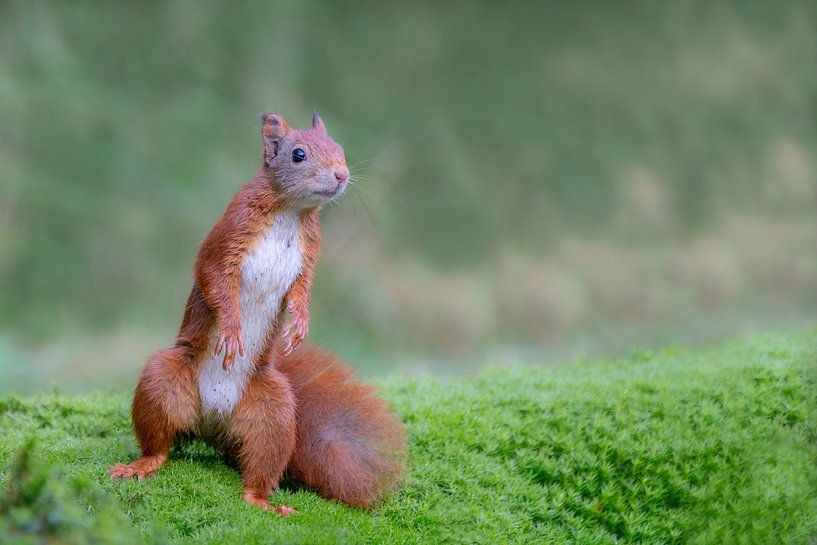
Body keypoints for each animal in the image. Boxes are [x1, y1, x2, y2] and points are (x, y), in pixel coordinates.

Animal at [108, 112, 406, 515]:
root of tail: (212, 422)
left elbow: (302, 290)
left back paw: (263, 501)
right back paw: (140, 465)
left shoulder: (308, 258)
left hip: (275, 414)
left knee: (260, 469)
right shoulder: (228, 238)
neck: (289, 210)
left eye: (340, 149)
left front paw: (300, 321)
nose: (342, 175)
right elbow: (215, 280)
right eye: (298, 154)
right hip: (163, 382)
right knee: (159, 444)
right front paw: (233, 329)